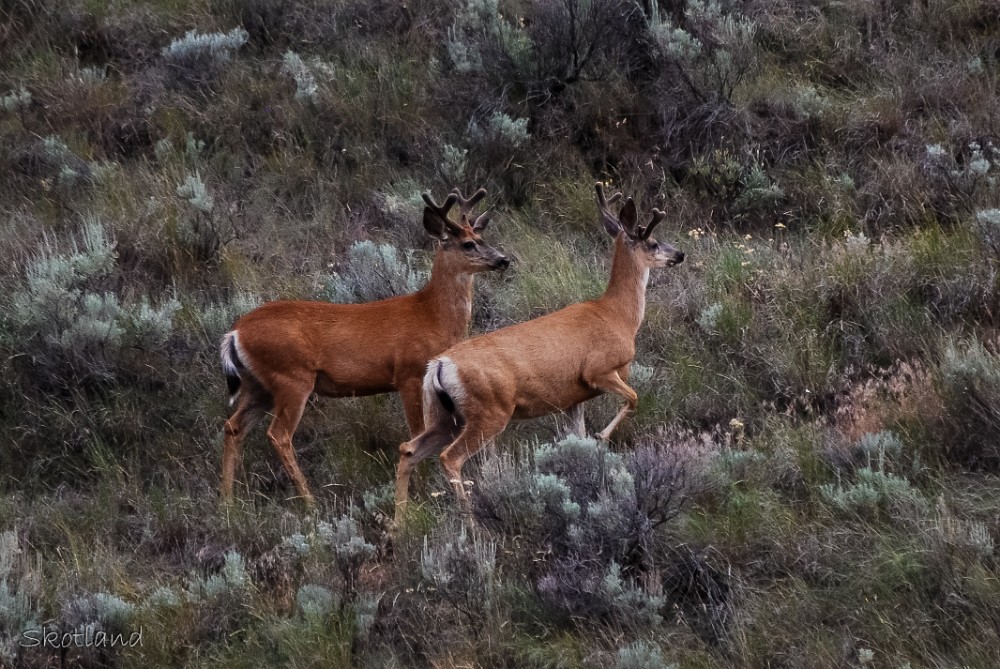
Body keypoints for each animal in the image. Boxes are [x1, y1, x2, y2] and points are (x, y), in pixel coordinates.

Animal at [223, 185, 512, 504]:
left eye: (482, 237)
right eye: (468, 244)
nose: (503, 259)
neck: (431, 316)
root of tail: (235, 333)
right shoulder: (409, 373)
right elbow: (417, 431)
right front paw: (420, 489)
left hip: (258, 384)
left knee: (233, 427)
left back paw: (228, 501)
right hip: (291, 377)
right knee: (278, 435)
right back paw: (310, 502)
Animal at [394, 181, 684, 520]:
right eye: (652, 242)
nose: (679, 253)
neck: (617, 316)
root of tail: (440, 364)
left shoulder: (573, 397)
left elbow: (579, 436)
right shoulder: (598, 369)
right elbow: (634, 398)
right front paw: (602, 437)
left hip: (443, 414)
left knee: (408, 450)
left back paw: (399, 524)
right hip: (489, 410)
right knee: (450, 458)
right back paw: (472, 521)